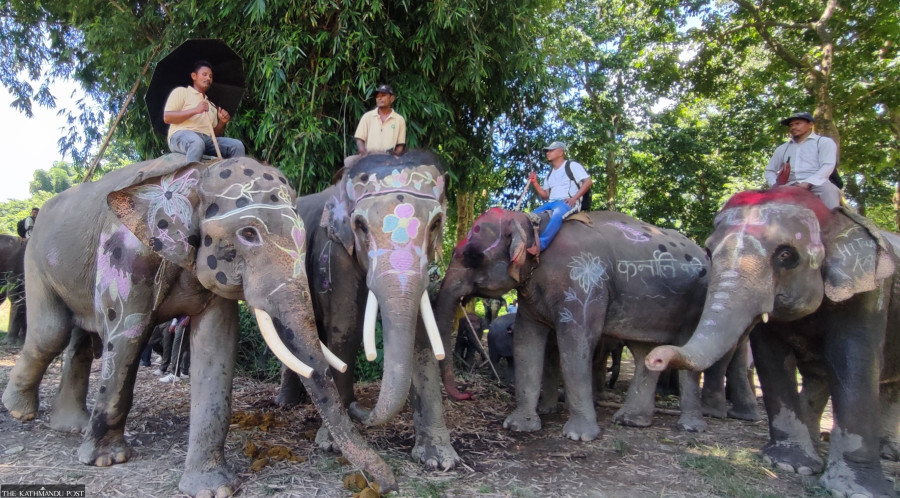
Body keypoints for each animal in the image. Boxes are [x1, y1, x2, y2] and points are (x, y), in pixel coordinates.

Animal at [1, 154, 396, 496]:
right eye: (248, 234)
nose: (388, 485)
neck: (198, 171)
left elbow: (217, 344)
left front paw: (213, 488)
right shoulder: (124, 255)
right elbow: (127, 336)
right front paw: (105, 460)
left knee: (78, 336)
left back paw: (70, 425)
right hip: (35, 260)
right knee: (52, 332)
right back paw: (20, 411)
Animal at [275, 151, 460, 469]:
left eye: (436, 223)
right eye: (360, 225)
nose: (357, 406)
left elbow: (420, 339)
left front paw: (439, 460)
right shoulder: (333, 251)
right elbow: (346, 331)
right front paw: (330, 443)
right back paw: (287, 404)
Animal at [435, 207, 716, 441]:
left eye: (471, 256)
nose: (467, 393)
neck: (535, 227)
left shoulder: (584, 282)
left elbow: (575, 342)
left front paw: (579, 436)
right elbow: (526, 341)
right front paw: (518, 426)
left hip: (695, 303)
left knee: (686, 350)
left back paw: (690, 427)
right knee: (643, 353)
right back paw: (631, 421)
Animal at [646, 186, 900, 497]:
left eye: (786, 255)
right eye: (708, 252)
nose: (656, 357)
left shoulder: (870, 289)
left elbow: (853, 360)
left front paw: (859, 489)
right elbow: (771, 359)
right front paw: (791, 465)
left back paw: (886, 452)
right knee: (820, 375)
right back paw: (816, 443)